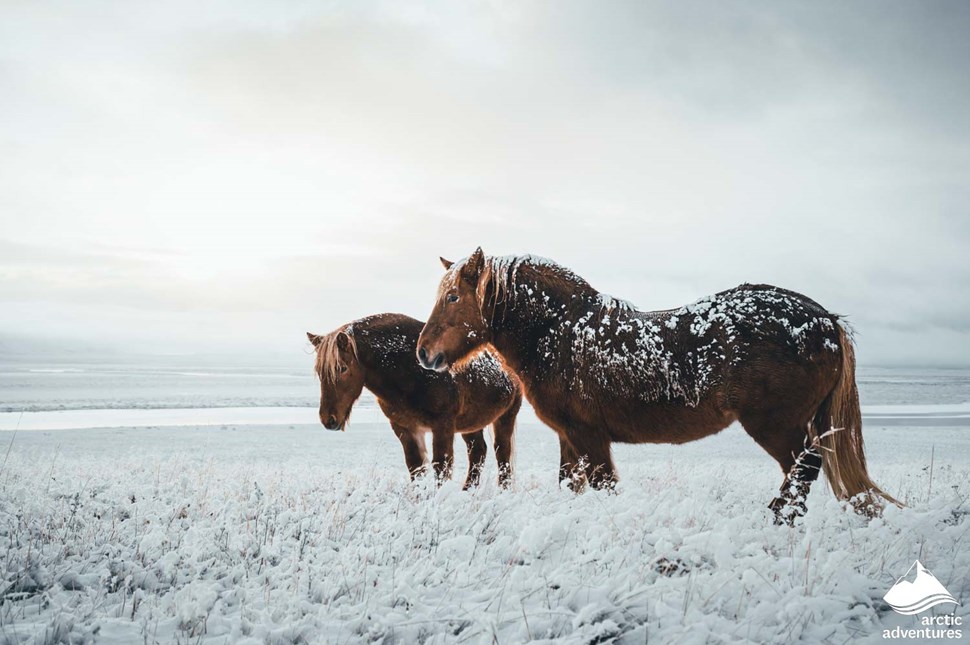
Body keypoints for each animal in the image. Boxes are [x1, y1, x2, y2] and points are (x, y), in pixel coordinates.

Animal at [308, 314, 520, 488]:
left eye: (342, 368)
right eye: (319, 371)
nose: (328, 419)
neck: (412, 370)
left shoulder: (442, 426)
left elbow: (441, 468)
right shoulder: (404, 428)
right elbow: (415, 468)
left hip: (505, 418)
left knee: (502, 455)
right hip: (471, 423)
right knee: (478, 452)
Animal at [416, 249, 900, 520]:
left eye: (453, 297)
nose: (423, 353)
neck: (562, 332)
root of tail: (825, 320)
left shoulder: (590, 437)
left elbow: (604, 487)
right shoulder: (570, 438)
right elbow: (571, 488)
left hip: (775, 425)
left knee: (804, 469)